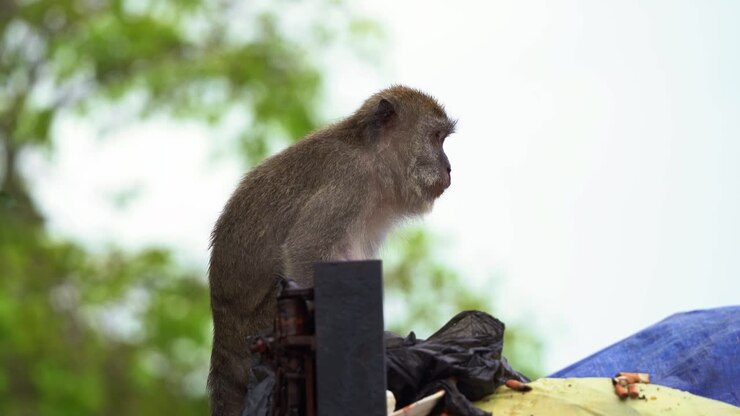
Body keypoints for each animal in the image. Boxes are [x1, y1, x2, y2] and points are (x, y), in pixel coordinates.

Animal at [207, 85, 456, 416]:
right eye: (436, 138)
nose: (449, 167)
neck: (371, 156)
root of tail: (223, 343)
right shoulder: (349, 183)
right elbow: (304, 251)